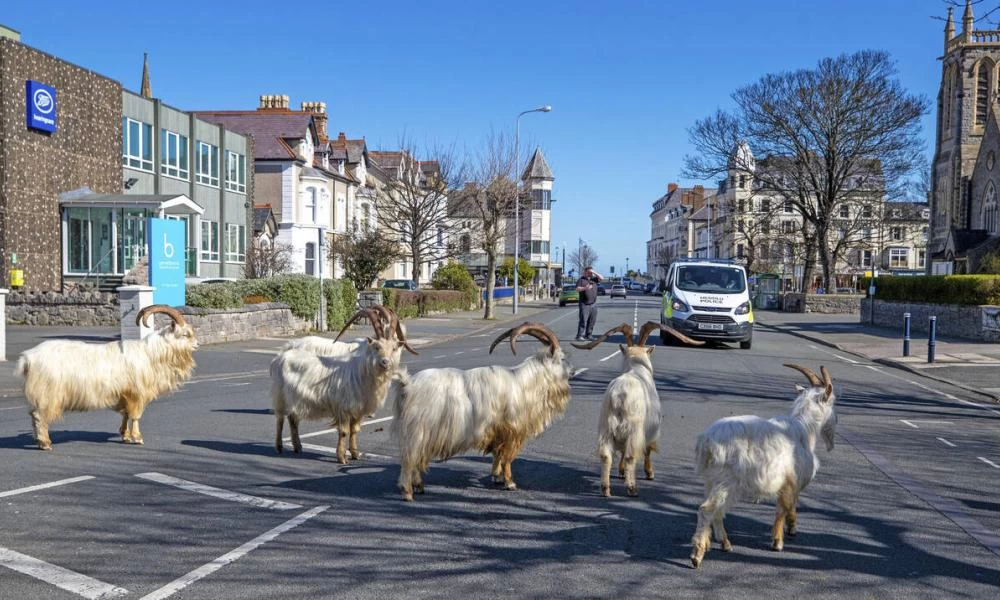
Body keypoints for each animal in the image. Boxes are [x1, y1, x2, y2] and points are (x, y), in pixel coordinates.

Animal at [15, 304, 198, 450]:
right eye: (185, 334)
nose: (197, 344)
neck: (151, 353)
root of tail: (28, 358)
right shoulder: (137, 393)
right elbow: (135, 416)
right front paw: (137, 438)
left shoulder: (124, 394)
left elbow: (125, 414)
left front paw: (125, 435)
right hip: (48, 394)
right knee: (39, 416)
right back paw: (45, 443)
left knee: (33, 415)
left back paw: (39, 441)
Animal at [274, 310, 406, 464]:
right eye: (377, 346)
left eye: (394, 348)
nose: (385, 362)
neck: (362, 372)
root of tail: (281, 355)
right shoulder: (343, 408)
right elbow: (344, 432)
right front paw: (342, 457)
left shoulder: (359, 409)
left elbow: (354, 430)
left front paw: (355, 454)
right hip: (280, 396)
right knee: (280, 420)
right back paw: (279, 447)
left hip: (295, 400)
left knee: (293, 419)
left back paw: (298, 447)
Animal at [394, 324, 576, 502]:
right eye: (562, 358)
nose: (573, 371)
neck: (525, 383)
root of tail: (408, 384)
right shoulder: (512, 430)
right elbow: (507, 457)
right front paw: (510, 483)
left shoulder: (497, 431)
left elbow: (498, 455)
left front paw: (497, 477)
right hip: (419, 430)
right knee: (410, 458)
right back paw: (407, 492)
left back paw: (418, 486)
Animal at [572, 322, 704, 494]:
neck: (636, 368)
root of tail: (619, 394)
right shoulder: (651, 428)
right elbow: (648, 449)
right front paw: (649, 473)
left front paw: (621, 471)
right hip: (634, 427)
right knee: (630, 455)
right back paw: (632, 487)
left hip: (605, 426)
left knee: (606, 455)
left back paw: (606, 488)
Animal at [688, 364, 836, 568]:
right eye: (833, 402)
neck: (804, 428)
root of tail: (706, 442)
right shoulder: (790, 480)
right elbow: (783, 508)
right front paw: (779, 542)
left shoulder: (787, 482)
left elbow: (788, 505)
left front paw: (789, 529)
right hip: (727, 481)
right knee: (708, 509)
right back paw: (697, 555)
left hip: (711, 480)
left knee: (716, 510)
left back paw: (724, 543)